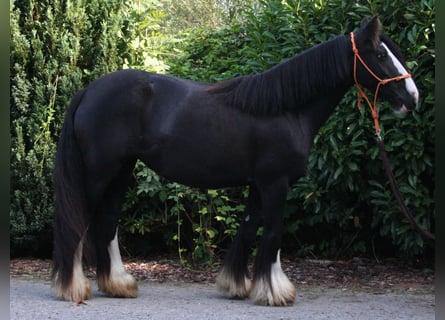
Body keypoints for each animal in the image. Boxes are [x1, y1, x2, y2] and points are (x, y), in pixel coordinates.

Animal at [52, 16, 416, 306]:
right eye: (380, 54)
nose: (412, 97)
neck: (287, 109)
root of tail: (88, 92)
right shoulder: (275, 183)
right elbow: (273, 233)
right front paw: (276, 292)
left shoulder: (259, 184)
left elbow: (248, 230)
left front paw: (238, 286)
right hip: (99, 174)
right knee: (80, 221)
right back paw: (75, 288)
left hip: (121, 171)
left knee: (107, 222)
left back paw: (118, 284)